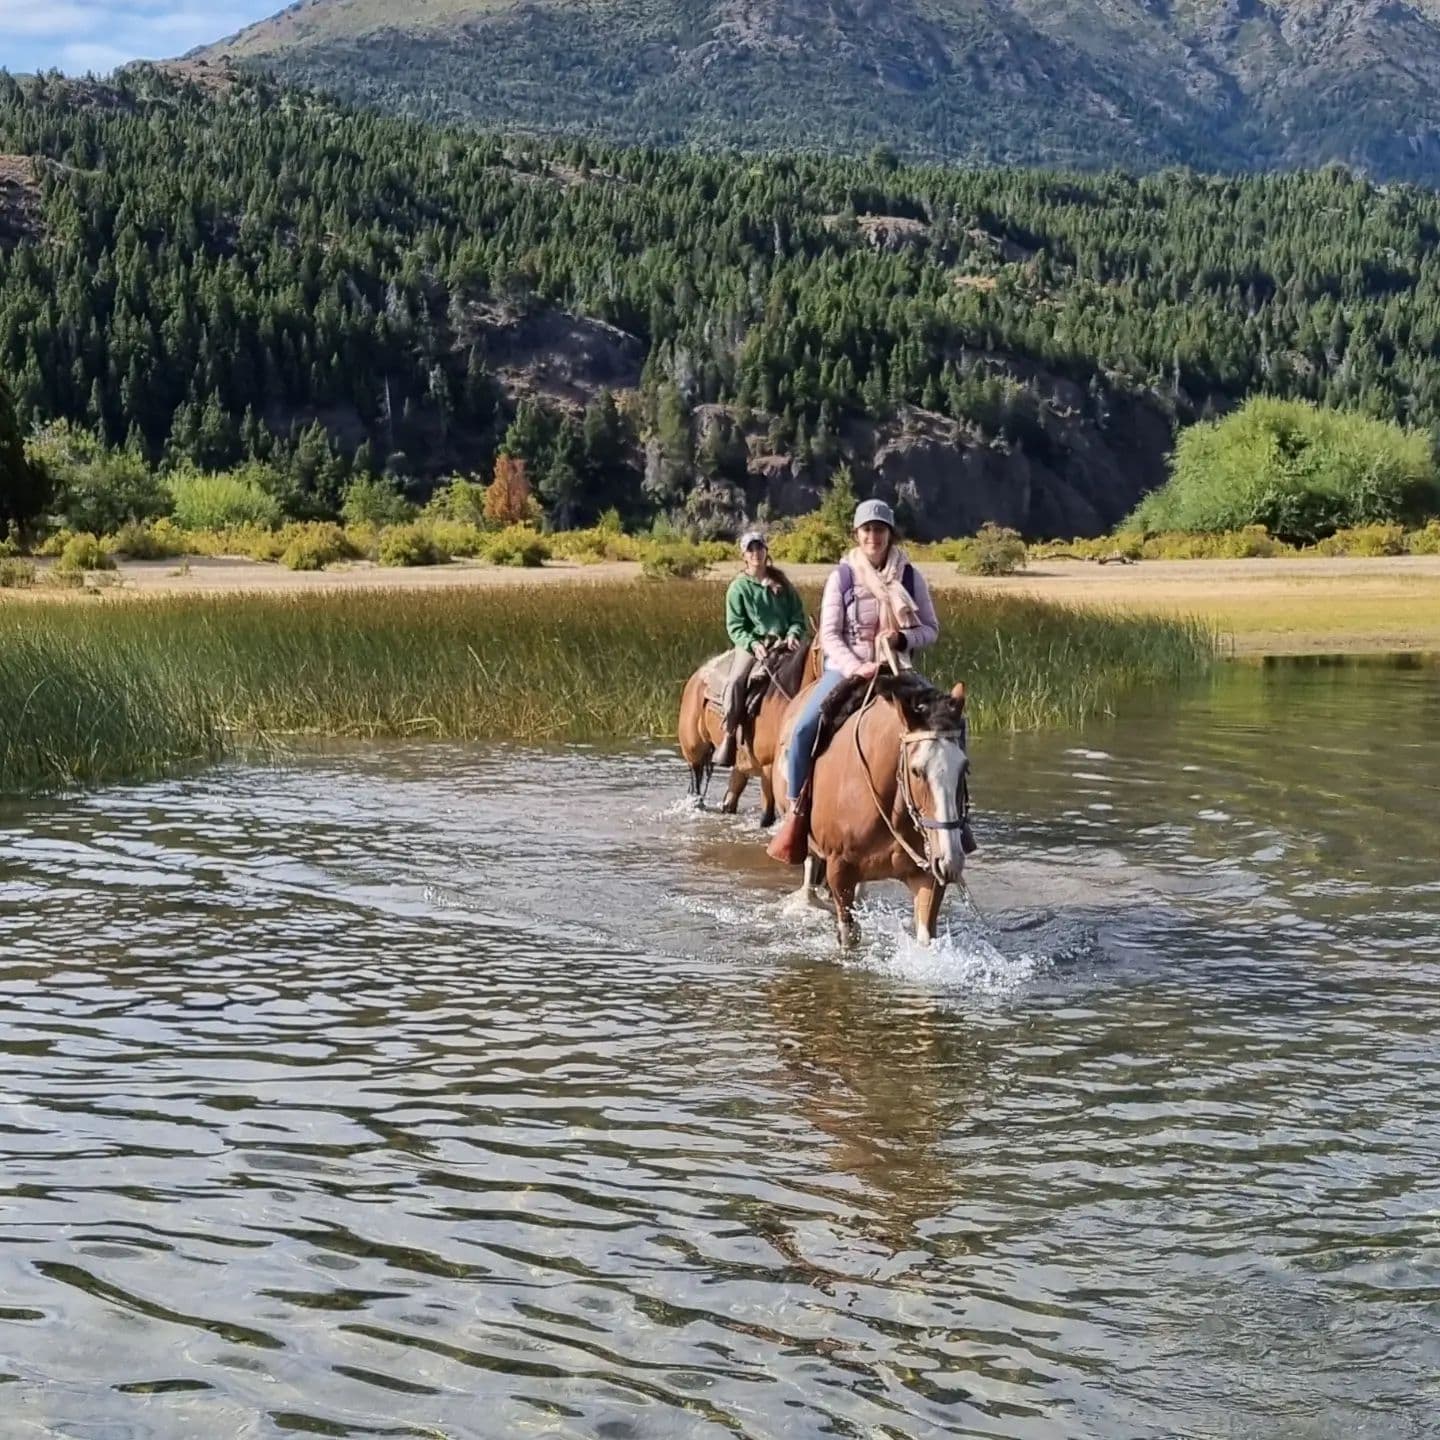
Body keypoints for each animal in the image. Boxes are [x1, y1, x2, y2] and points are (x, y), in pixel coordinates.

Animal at [676, 639, 823, 829]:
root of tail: (697, 676)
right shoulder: (768, 767)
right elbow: (767, 817)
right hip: (694, 754)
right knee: (696, 788)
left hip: (740, 765)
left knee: (729, 800)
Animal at [777, 671, 967, 950]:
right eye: (916, 771)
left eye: (964, 767)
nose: (950, 860)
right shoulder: (839, 870)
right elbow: (849, 935)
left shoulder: (928, 876)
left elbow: (925, 938)